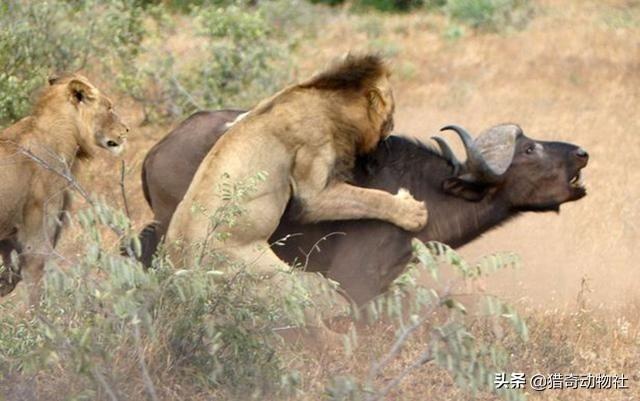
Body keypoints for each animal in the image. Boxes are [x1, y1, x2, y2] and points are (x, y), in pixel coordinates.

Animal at [0, 74, 129, 300]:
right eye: (109, 107)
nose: (126, 130)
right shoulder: (36, 242)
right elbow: (34, 294)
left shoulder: (8, 237)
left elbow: (9, 277)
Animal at [166, 54, 424, 276]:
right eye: (391, 109)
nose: (393, 124)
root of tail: (179, 263)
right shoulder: (313, 186)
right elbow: (369, 198)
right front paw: (413, 212)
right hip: (265, 271)